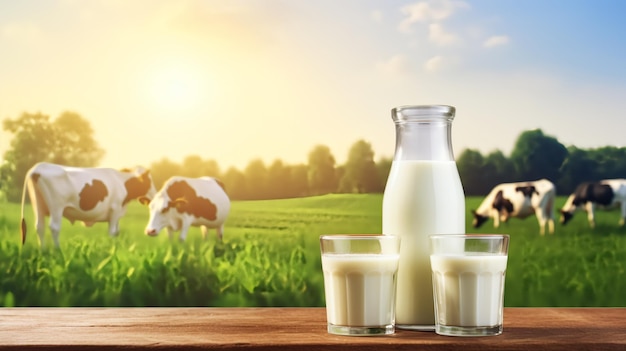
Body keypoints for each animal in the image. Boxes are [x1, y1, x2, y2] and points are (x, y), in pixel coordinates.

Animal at [19, 162, 157, 248]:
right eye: (149, 180)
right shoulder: (115, 209)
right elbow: (112, 232)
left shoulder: (116, 214)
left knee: (39, 227)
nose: (155, 195)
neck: (121, 182)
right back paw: (58, 250)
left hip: (38, 205)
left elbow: (117, 232)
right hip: (56, 206)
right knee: (54, 227)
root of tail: (38, 168)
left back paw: (43, 251)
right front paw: (112, 250)